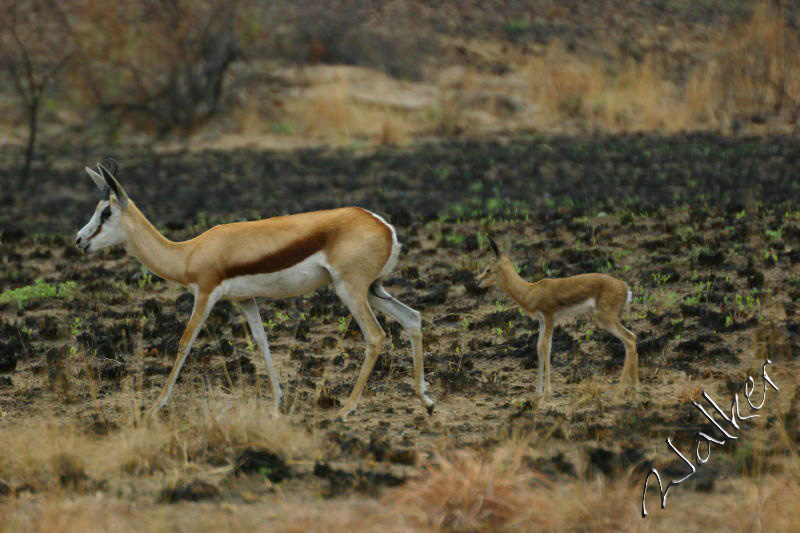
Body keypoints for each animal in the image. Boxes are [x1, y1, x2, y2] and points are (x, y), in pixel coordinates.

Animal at [75, 160, 434, 418]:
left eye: (106, 211)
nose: (79, 240)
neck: (188, 253)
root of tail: (383, 225)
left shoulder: (205, 294)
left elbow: (184, 343)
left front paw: (155, 406)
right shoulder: (245, 300)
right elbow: (262, 341)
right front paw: (278, 401)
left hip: (350, 290)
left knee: (375, 336)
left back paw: (347, 409)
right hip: (373, 288)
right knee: (412, 318)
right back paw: (425, 400)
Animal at [476, 237, 636, 394]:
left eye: (488, 269)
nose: (477, 281)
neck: (531, 292)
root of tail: (624, 287)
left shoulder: (549, 317)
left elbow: (546, 346)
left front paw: (546, 393)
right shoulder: (541, 321)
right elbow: (539, 347)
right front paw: (538, 393)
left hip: (605, 318)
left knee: (629, 339)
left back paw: (621, 391)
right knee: (631, 338)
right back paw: (635, 390)